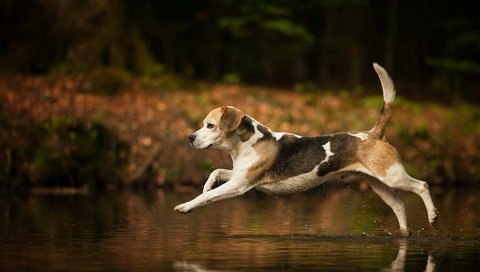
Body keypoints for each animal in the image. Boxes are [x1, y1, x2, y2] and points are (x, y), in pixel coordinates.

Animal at [176, 63, 438, 236]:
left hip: (392, 176)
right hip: (379, 184)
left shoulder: (239, 185)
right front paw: (205, 186)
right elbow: (215, 174)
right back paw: (404, 234)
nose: (190, 138)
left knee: (422, 185)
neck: (249, 143)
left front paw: (186, 206)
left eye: (210, 125)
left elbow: (206, 197)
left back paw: (433, 216)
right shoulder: (239, 175)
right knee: (399, 206)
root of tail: (373, 134)